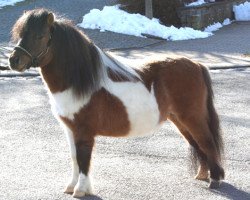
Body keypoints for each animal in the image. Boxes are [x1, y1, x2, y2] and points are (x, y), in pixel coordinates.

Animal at [9, 8, 225, 198]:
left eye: (40, 36)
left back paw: (215, 180)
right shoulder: (70, 129)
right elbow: (74, 158)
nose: (13, 61)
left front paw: (81, 190)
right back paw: (202, 175)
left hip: (192, 118)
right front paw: (72, 187)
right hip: (180, 120)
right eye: (20, 34)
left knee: (207, 142)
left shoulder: (84, 131)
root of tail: (197, 65)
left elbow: (83, 159)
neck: (81, 81)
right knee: (197, 143)